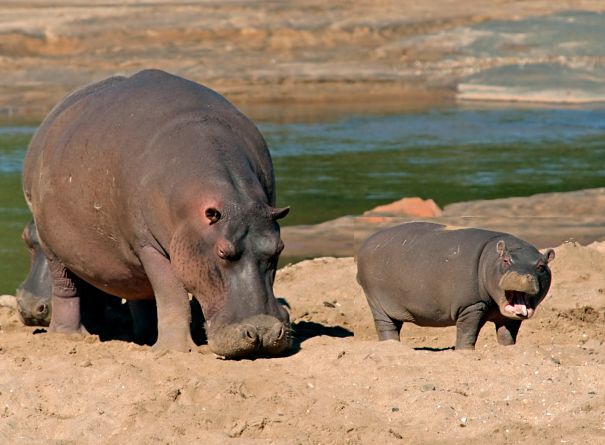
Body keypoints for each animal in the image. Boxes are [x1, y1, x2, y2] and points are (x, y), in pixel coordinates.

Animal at [21, 67, 290, 358]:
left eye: (278, 249)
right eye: (222, 252)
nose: (263, 332)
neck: (234, 202)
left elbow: (162, 297)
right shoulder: (149, 246)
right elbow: (172, 295)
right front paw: (177, 350)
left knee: (141, 294)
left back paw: (145, 337)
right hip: (56, 248)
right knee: (66, 289)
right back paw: (70, 336)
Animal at [356, 220, 556, 348]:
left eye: (541, 265)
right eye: (506, 260)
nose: (522, 275)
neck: (491, 259)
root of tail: (366, 242)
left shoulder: (509, 317)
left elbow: (507, 335)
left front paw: (508, 348)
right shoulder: (471, 306)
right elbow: (468, 332)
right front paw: (464, 350)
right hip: (377, 302)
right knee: (385, 326)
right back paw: (391, 346)